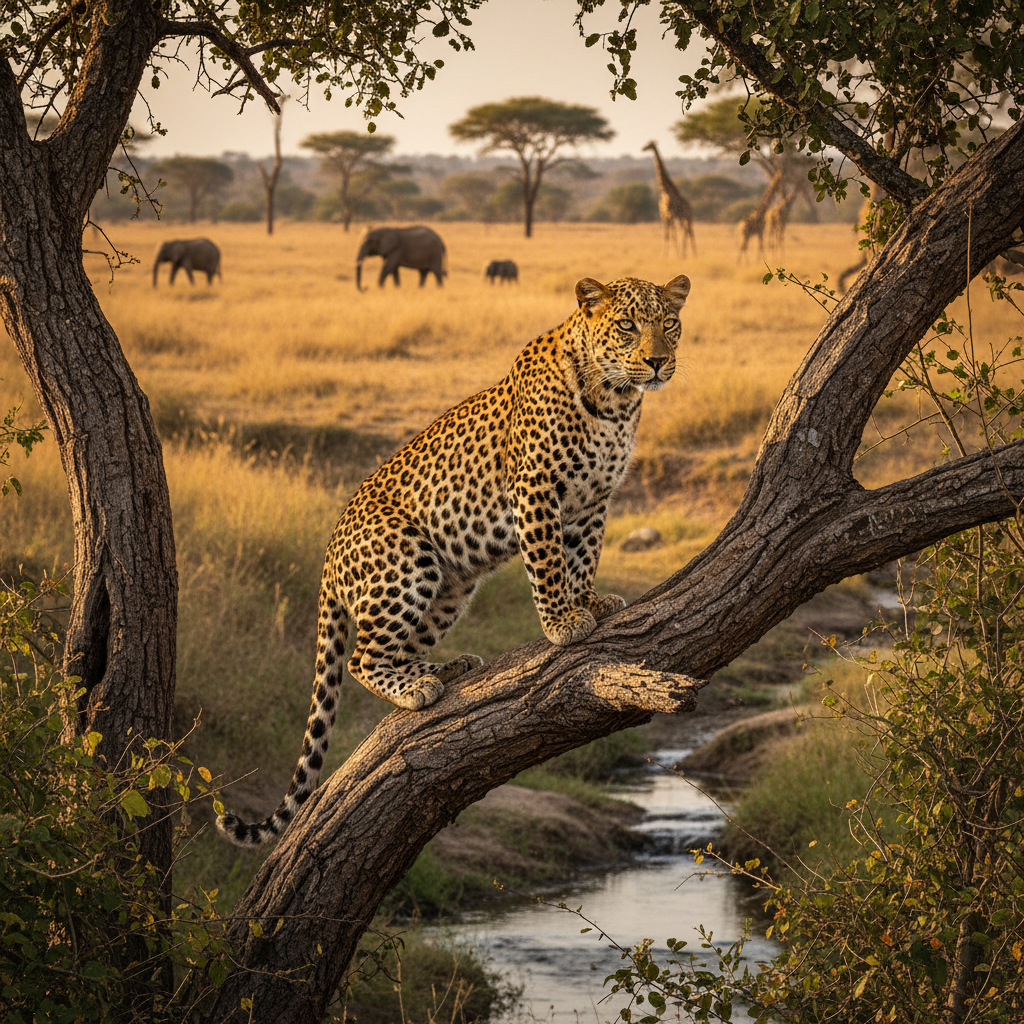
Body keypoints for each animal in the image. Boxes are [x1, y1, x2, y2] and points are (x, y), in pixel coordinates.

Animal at [216, 273, 691, 847]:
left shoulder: (593, 502)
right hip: (407, 562)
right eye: (627, 327)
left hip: (450, 590)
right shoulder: (536, 489)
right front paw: (563, 622)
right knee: (361, 658)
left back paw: (450, 668)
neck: (614, 401)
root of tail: (328, 558)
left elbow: (584, 557)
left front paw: (589, 601)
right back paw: (419, 689)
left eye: (669, 324)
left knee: (399, 648)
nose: (658, 362)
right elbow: (549, 560)